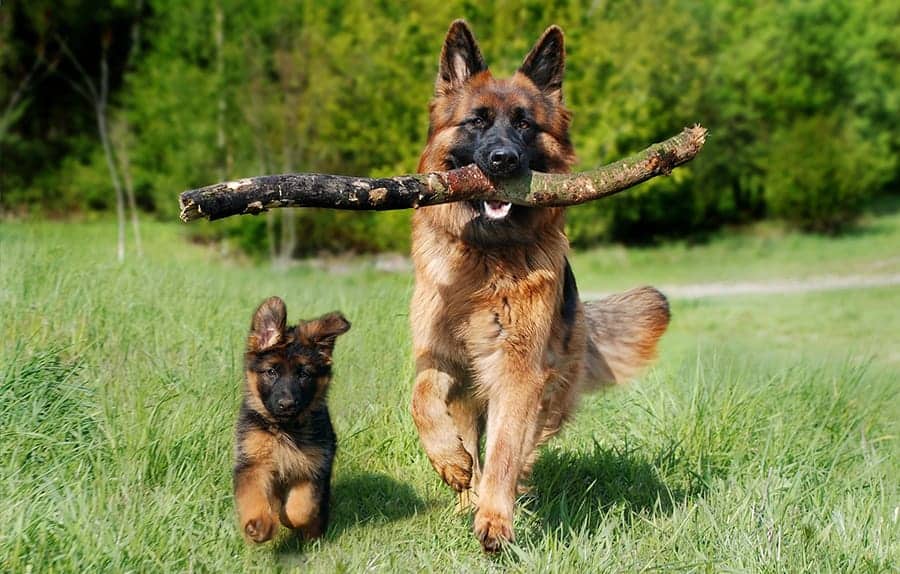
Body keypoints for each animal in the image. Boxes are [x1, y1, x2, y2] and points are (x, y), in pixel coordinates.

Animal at [234, 300, 350, 548]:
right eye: (271, 372)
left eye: (304, 374)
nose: (286, 404)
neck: (285, 429)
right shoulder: (253, 463)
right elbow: (254, 497)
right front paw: (260, 526)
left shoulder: (313, 467)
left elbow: (301, 508)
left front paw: (287, 519)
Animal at [412, 21, 672, 552]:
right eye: (477, 122)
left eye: (525, 125)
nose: (503, 160)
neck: (486, 257)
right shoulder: (440, 355)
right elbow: (421, 399)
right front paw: (450, 462)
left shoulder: (518, 371)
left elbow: (505, 449)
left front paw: (495, 518)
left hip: (548, 387)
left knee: (522, 445)